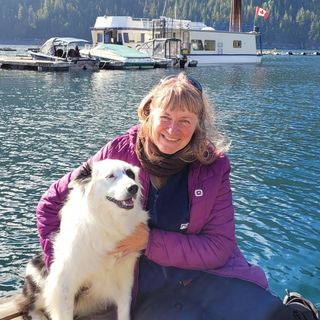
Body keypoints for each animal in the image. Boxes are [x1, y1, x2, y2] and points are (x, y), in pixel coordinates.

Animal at [19, 160, 149, 320]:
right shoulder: (64, 281)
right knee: (27, 306)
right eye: (111, 176)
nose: (133, 188)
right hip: (38, 274)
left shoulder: (124, 276)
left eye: (130, 174)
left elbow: (124, 309)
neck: (107, 221)